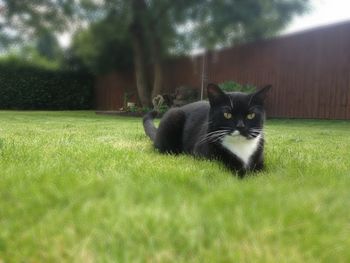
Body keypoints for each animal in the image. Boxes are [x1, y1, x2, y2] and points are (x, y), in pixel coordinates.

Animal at [142, 83, 270, 177]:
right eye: (227, 114)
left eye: (251, 115)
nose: (240, 126)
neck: (240, 147)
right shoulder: (201, 153)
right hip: (173, 118)